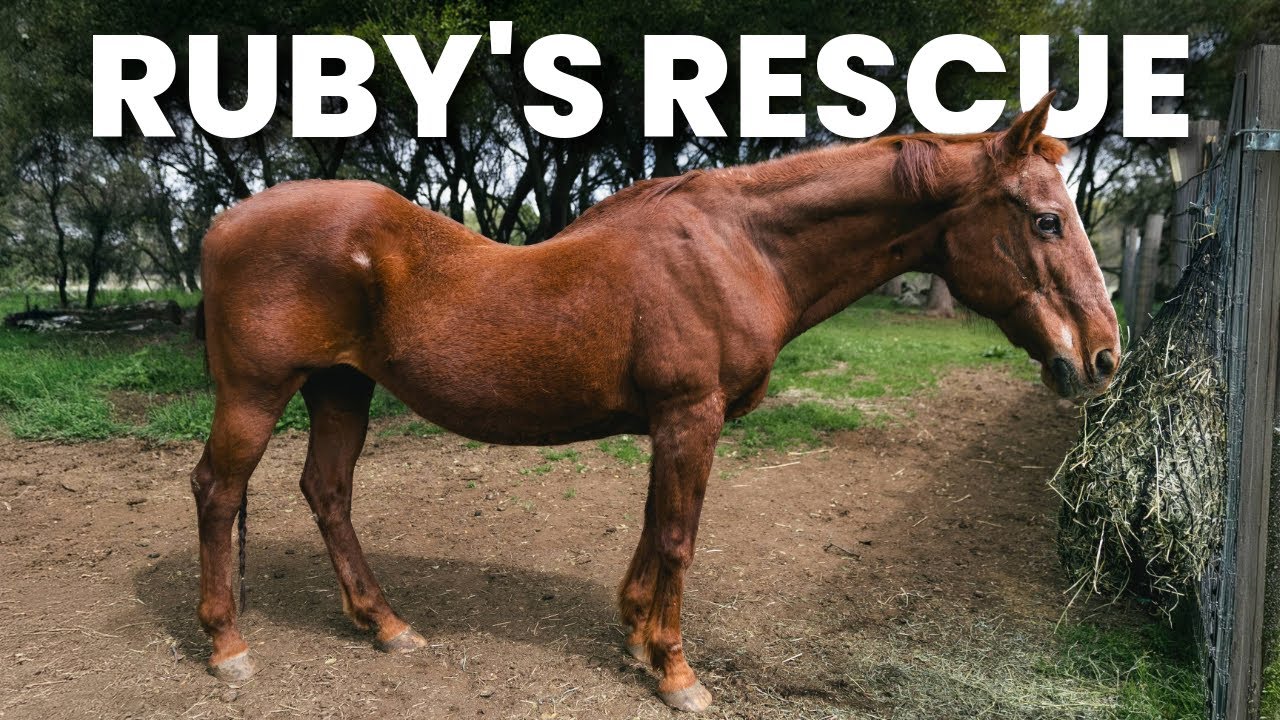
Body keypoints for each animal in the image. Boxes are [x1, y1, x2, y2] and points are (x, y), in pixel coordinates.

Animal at [189, 92, 1119, 712]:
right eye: (1044, 220)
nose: (1104, 357)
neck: (740, 250)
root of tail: (223, 224)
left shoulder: (672, 424)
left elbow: (653, 527)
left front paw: (636, 632)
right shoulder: (689, 415)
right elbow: (678, 537)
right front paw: (676, 670)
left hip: (341, 389)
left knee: (328, 493)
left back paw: (383, 624)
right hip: (257, 393)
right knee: (218, 491)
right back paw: (227, 644)